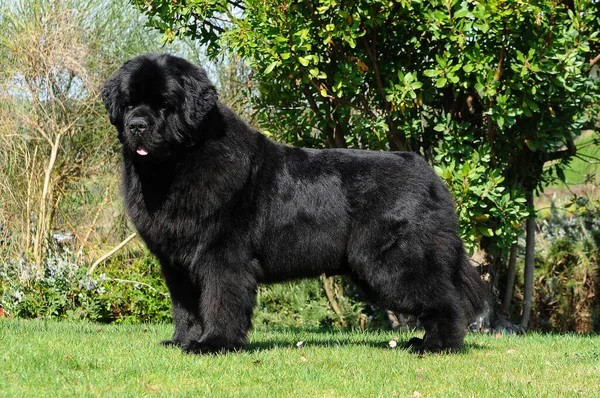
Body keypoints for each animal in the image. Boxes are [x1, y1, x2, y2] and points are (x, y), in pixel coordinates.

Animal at [102, 52, 488, 354]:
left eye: (165, 105)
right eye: (129, 103)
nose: (137, 125)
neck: (176, 168)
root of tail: (432, 176)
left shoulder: (222, 254)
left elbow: (220, 300)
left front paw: (214, 344)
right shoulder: (175, 260)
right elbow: (185, 306)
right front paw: (182, 341)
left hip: (397, 260)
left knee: (445, 300)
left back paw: (436, 345)